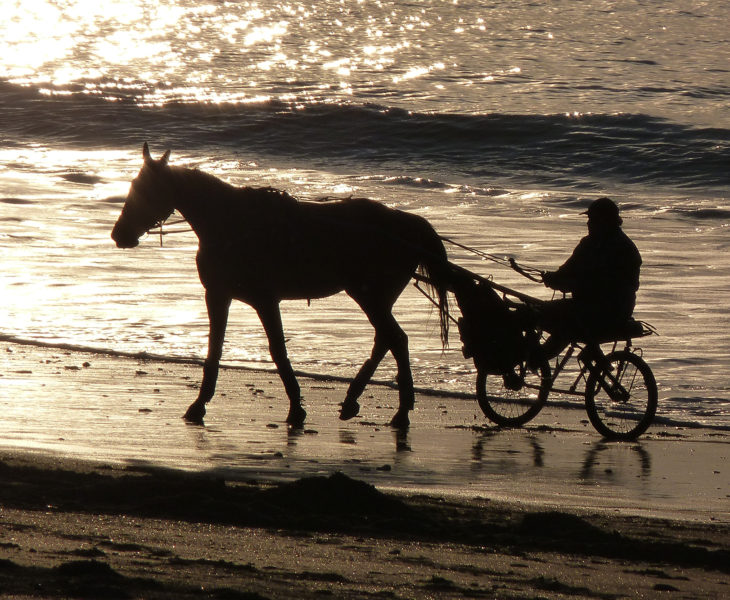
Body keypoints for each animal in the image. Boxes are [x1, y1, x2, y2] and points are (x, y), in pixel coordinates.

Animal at [111, 144, 450, 428]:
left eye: (145, 189)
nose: (119, 234)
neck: (230, 223)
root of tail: (410, 225)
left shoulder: (263, 299)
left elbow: (277, 350)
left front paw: (296, 408)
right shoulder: (219, 295)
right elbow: (215, 349)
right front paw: (199, 405)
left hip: (370, 296)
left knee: (396, 340)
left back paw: (400, 411)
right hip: (374, 298)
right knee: (386, 340)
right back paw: (354, 400)